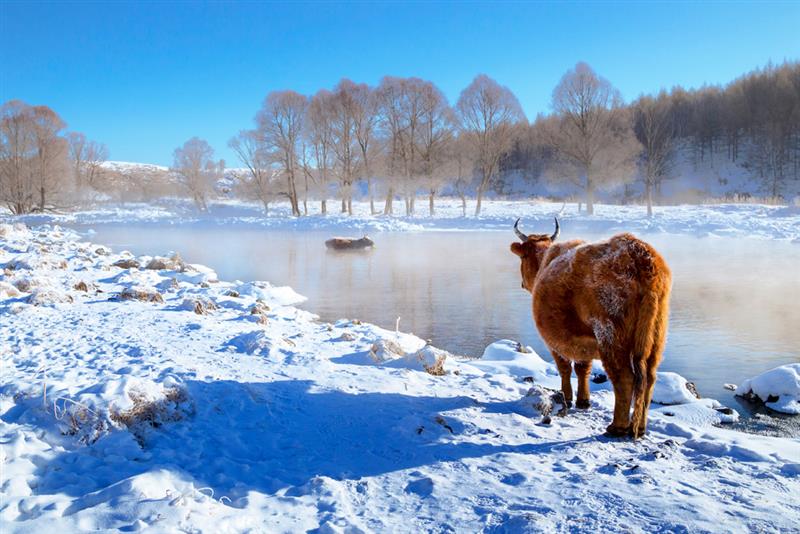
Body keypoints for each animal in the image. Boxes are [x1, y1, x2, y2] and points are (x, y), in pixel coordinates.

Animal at [510, 219, 672, 440]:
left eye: (523, 257)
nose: (522, 283)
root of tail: (640, 255)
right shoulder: (583, 342)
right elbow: (583, 368)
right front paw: (584, 400)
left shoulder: (556, 341)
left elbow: (565, 368)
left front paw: (568, 397)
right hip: (656, 337)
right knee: (649, 378)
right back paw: (640, 427)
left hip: (611, 336)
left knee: (624, 378)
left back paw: (617, 427)